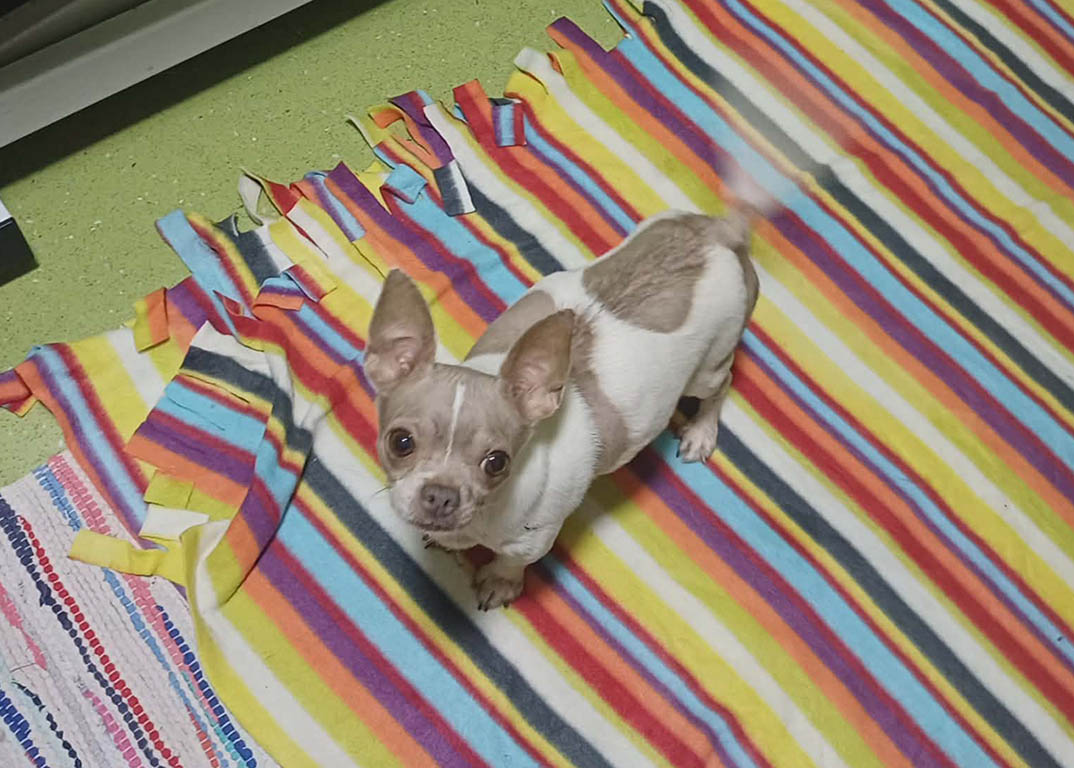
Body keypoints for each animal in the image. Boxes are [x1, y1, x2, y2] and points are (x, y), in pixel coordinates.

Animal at [364, 193, 763, 610]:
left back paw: (700, 432)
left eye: (497, 463)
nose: (441, 496)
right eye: (400, 442)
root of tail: (721, 232)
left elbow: (512, 561)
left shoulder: (533, 540)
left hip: (709, 366)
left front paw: (500, 581)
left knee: (722, 384)